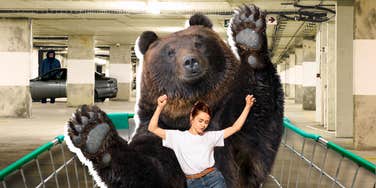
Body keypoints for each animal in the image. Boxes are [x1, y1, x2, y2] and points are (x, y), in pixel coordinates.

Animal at [65, 4, 282, 188]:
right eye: (170, 52)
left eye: (198, 42)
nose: (190, 61)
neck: (188, 110)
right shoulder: (161, 130)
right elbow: (151, 171)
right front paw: (91, 128)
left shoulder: (228, 125)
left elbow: (255, 133)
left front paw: (249, 32)